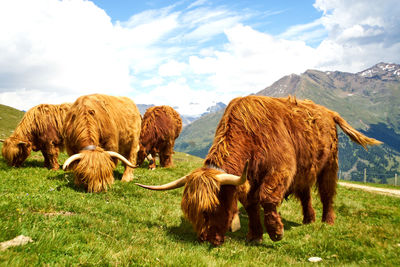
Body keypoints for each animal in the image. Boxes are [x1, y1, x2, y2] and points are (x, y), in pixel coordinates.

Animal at [136, 96, 382, 247]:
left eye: (213, 208)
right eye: (191, 212)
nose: (205, 239)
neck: (250, 137)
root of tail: (328, 112)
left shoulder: (280, 170)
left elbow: (267, 198)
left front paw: (276, 232)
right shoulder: (248, 180)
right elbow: (251, 204)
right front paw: (255, 235)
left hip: (329, 165)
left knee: (327, 193)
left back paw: (327, 221)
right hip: (304, 170)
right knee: (305, 195)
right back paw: (308, 219)